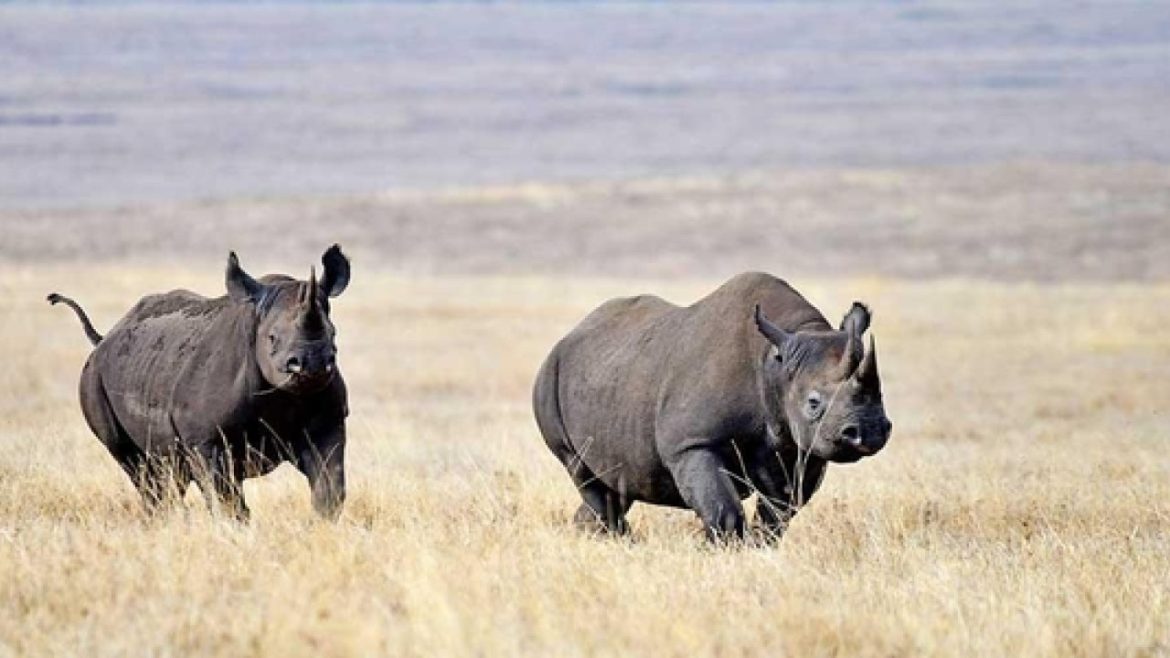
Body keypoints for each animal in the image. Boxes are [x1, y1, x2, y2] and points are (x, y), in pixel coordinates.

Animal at [48, 246, 352, 520]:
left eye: (334, 335)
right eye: (272, 338)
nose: (312, 364)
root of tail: (105, 338)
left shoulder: (328, 424)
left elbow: (330, 490)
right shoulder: (204, 439)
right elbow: (227, 502)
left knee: (169, 473)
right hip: (93, 376)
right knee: (136, 465)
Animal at [533, 272, 892, 541]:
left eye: (881, 395)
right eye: (813, 403)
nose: (870, 431)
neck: (774, 366)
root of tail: (569, 335)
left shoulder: (803, 448)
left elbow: (777, 515)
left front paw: (756, 550)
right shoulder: (691, 443)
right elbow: (723, 511)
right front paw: (724, 550)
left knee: (617, 485)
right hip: (548, 378)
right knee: (584, 474)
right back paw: (621, 542)